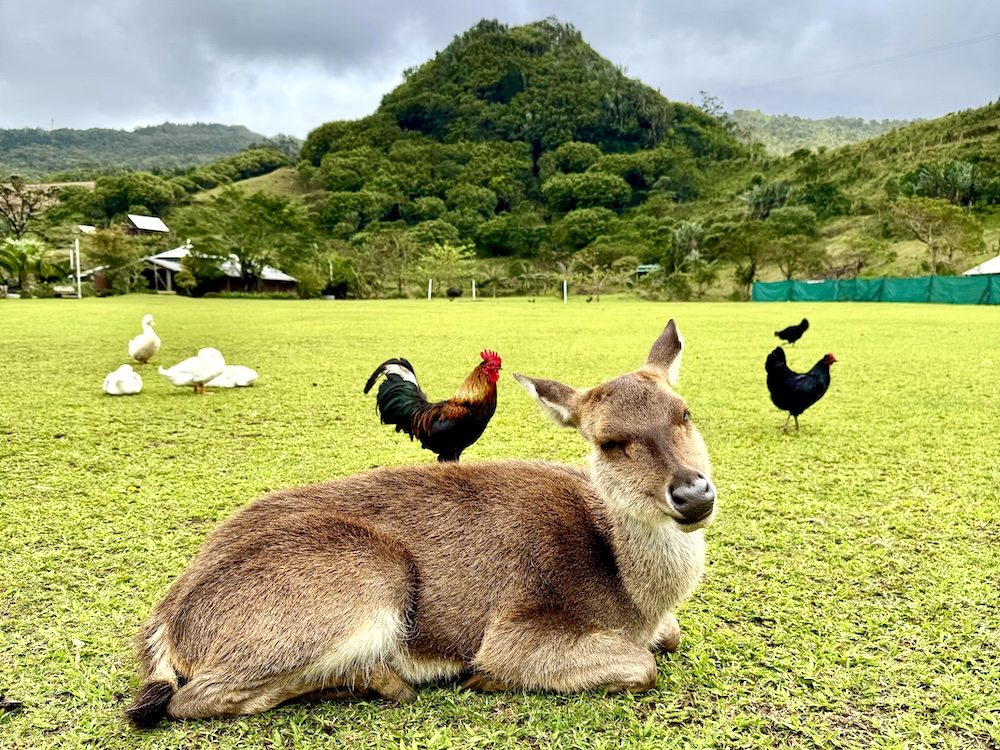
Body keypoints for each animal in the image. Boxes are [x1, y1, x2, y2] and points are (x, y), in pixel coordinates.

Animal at [125, 318, 717, 727]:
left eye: (684, 412)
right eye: (609, 441)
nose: (692, 493)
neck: (629, 595)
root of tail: (165, 623)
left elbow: (670, 638)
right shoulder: (516, 625)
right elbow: (642, 665)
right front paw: (482, 678)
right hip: (364, 574)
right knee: (189, 698)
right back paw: (381, 679)